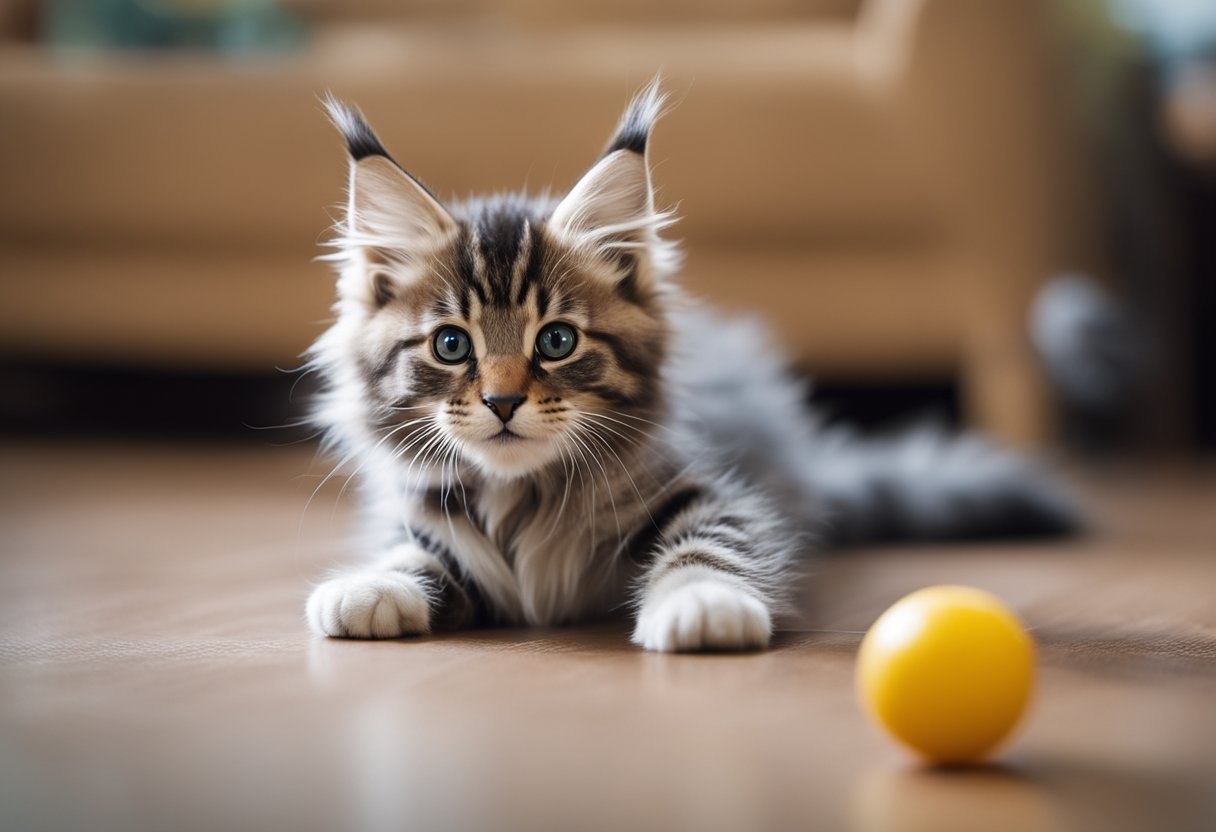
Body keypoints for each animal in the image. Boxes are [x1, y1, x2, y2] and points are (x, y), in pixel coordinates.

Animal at [304, 79, 1074, 651]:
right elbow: (413, 551)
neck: (521, 496)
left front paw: (703, 604)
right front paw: (373, 586)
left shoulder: (714, 488)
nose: (501, 402)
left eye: (556, 342)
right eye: (451, 346)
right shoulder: (417, 515)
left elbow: (709, 544)